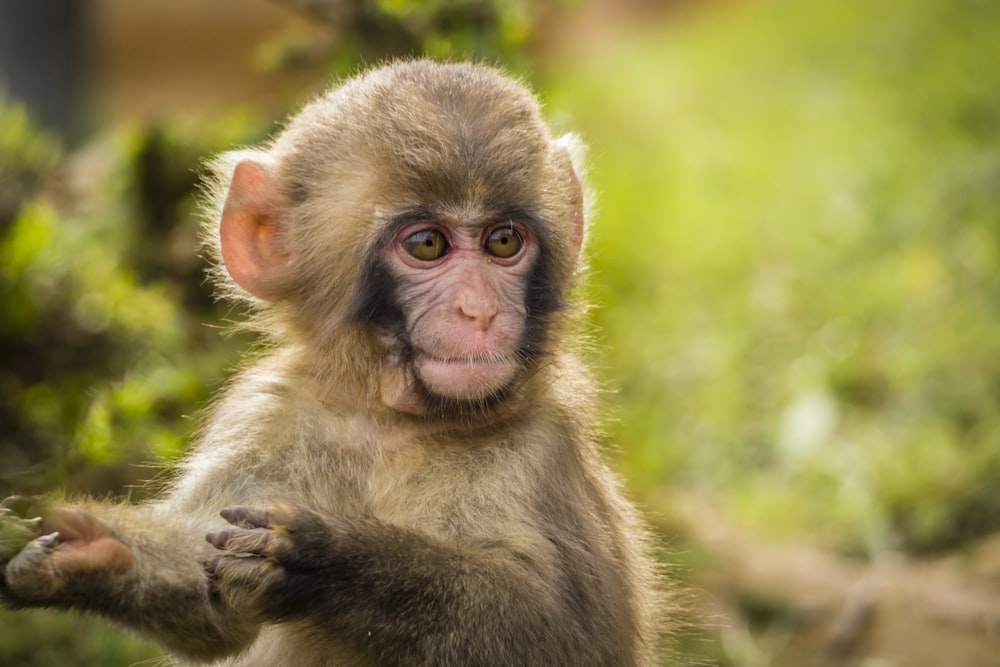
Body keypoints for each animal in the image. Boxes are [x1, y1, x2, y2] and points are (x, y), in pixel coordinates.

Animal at [1, 60, 672, 664]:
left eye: (503, 241)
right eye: (428, 244)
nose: (480, 310)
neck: (393, 421)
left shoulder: (544, 444)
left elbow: (558, 636)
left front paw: (331, 563)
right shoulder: (266, 411)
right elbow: (209, 604)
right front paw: (81, 548)